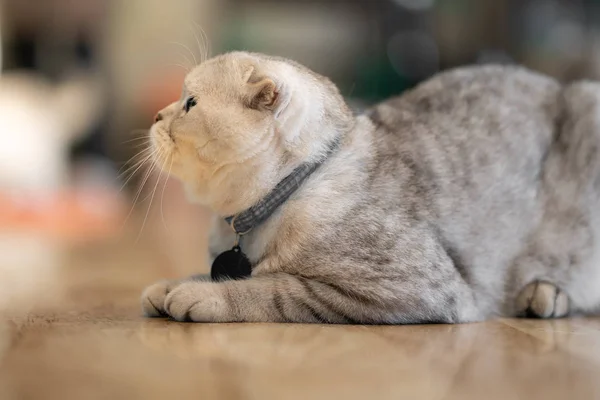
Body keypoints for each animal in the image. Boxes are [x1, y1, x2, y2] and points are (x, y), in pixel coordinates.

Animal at [139, 50, 600, 324]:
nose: (157, 116)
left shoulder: (410, 288)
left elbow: (274, 289)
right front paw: (173, 284)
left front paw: (202, 294)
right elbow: (210, 272)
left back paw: (545, 295)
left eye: (190, 103)